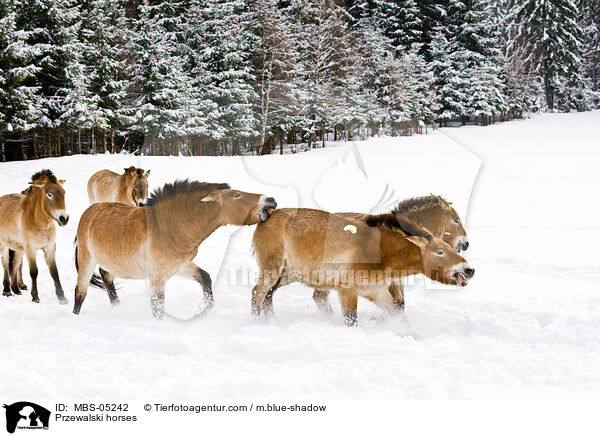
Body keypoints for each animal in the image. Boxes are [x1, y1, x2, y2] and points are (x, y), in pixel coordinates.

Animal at [0, 169, 69, 304]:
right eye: (49, 194)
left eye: (64, 192)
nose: (64, 218)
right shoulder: (31, 249)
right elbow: (34, 272)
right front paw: (35, 297)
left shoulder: (49, 247)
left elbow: (54, 272)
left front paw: (62, 297)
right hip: (4, 245)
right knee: (5, 263)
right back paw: (7, 291)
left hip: (18, 248)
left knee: (15, 264)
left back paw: (16, 289)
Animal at [74, 179, 278, 318]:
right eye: (237, 195)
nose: (271, 201)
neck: (170, 226)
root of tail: (89, 212)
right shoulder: (157, 275)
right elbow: (158, 307)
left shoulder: (181, 266)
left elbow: (205, 279)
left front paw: (203, 311)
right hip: (86, 260)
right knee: (80, 292)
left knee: (106, 277)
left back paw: (117, 308)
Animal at [250, 209, 474, 328]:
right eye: (439, 252)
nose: (468, 270)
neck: (379, 249)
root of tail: (266, 217)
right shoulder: (347, 291)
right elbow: (352, 320)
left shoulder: (376, 292)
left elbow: (397, 312)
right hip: (272, 270)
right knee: (258, 293)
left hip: (287, 274)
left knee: (267, 296)